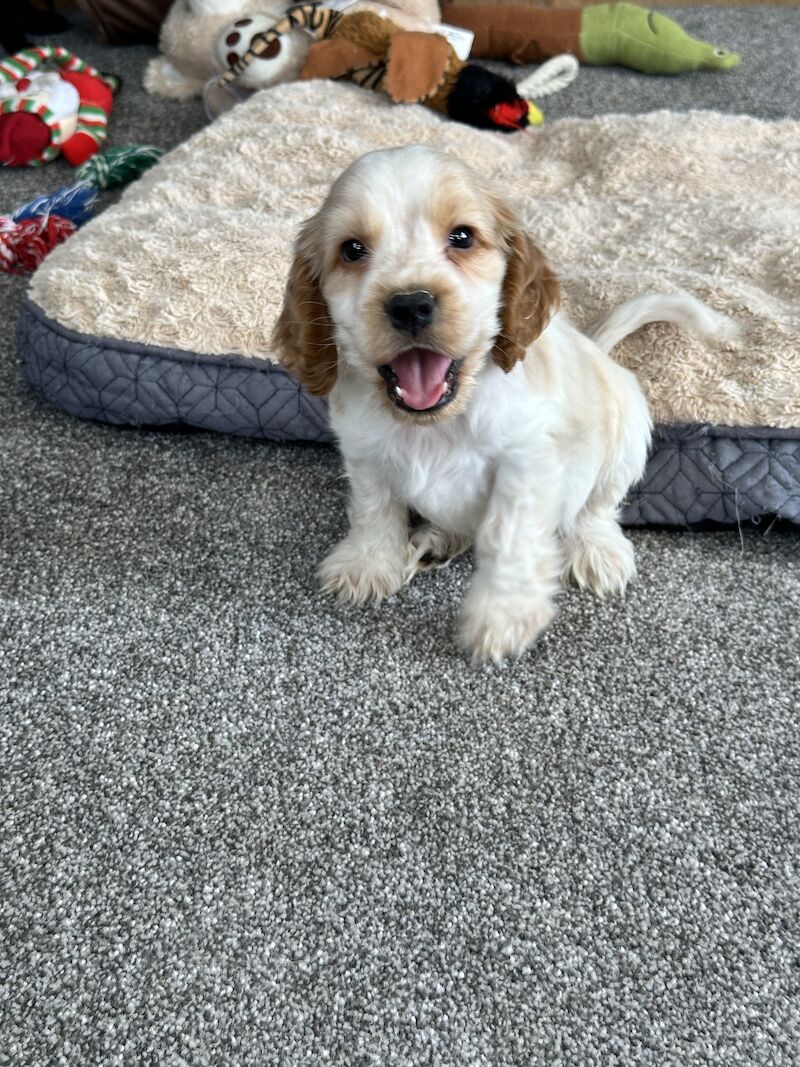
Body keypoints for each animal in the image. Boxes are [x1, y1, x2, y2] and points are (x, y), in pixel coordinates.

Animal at [275, 141, 738, 657]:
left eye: (462, 237)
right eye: (352, 249)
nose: (411, 304)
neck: (438, 424)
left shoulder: (526, 461)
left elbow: (508, 535)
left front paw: (502, 616)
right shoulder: (364, 451)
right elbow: (373, 508)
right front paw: (368, 563)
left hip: (626, 435)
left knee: (597, 508)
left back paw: (596, 550)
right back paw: (440, 539)